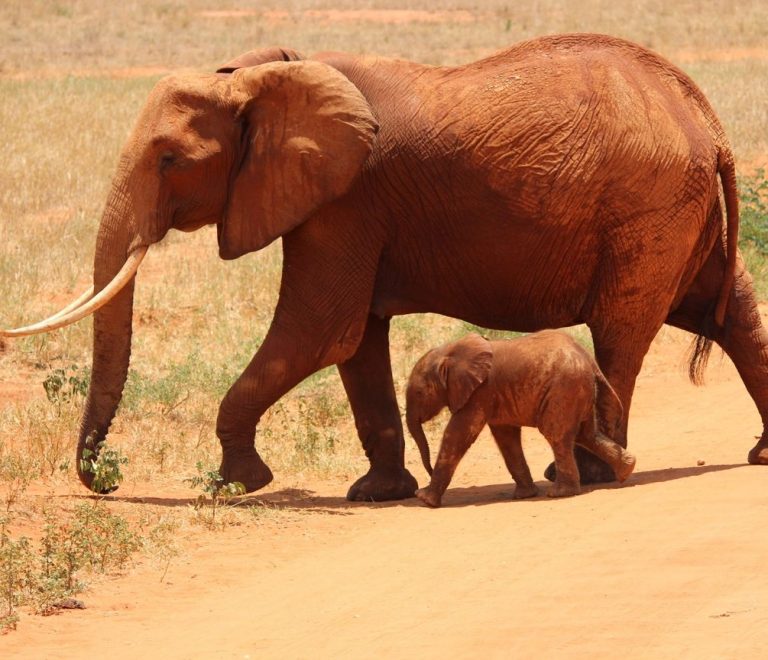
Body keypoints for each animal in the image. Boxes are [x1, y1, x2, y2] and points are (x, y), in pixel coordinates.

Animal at [406, 331, 637, 507]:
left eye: (418, 393)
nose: (428, 470)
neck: (450, 352)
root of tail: (589, 360)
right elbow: (506, 438)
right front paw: (525, 495)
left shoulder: (480, 392)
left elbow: (458, 434)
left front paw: (424, 499)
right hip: (579, 391)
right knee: (586, 435)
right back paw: (627, 470)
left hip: (564, 390)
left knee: (557, 436)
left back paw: (560, 493)